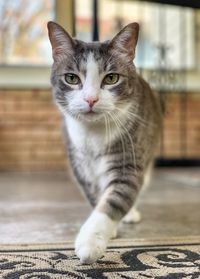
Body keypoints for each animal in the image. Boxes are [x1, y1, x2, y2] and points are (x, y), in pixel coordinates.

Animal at [48, 21, 162, 264]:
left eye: (111, 78)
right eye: (71, 78)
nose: (91, 99)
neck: (93, 135)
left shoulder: (129, 158)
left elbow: (114, 199)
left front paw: (90, 242)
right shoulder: (80, 165)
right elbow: (95, 195)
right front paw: (111, 230)